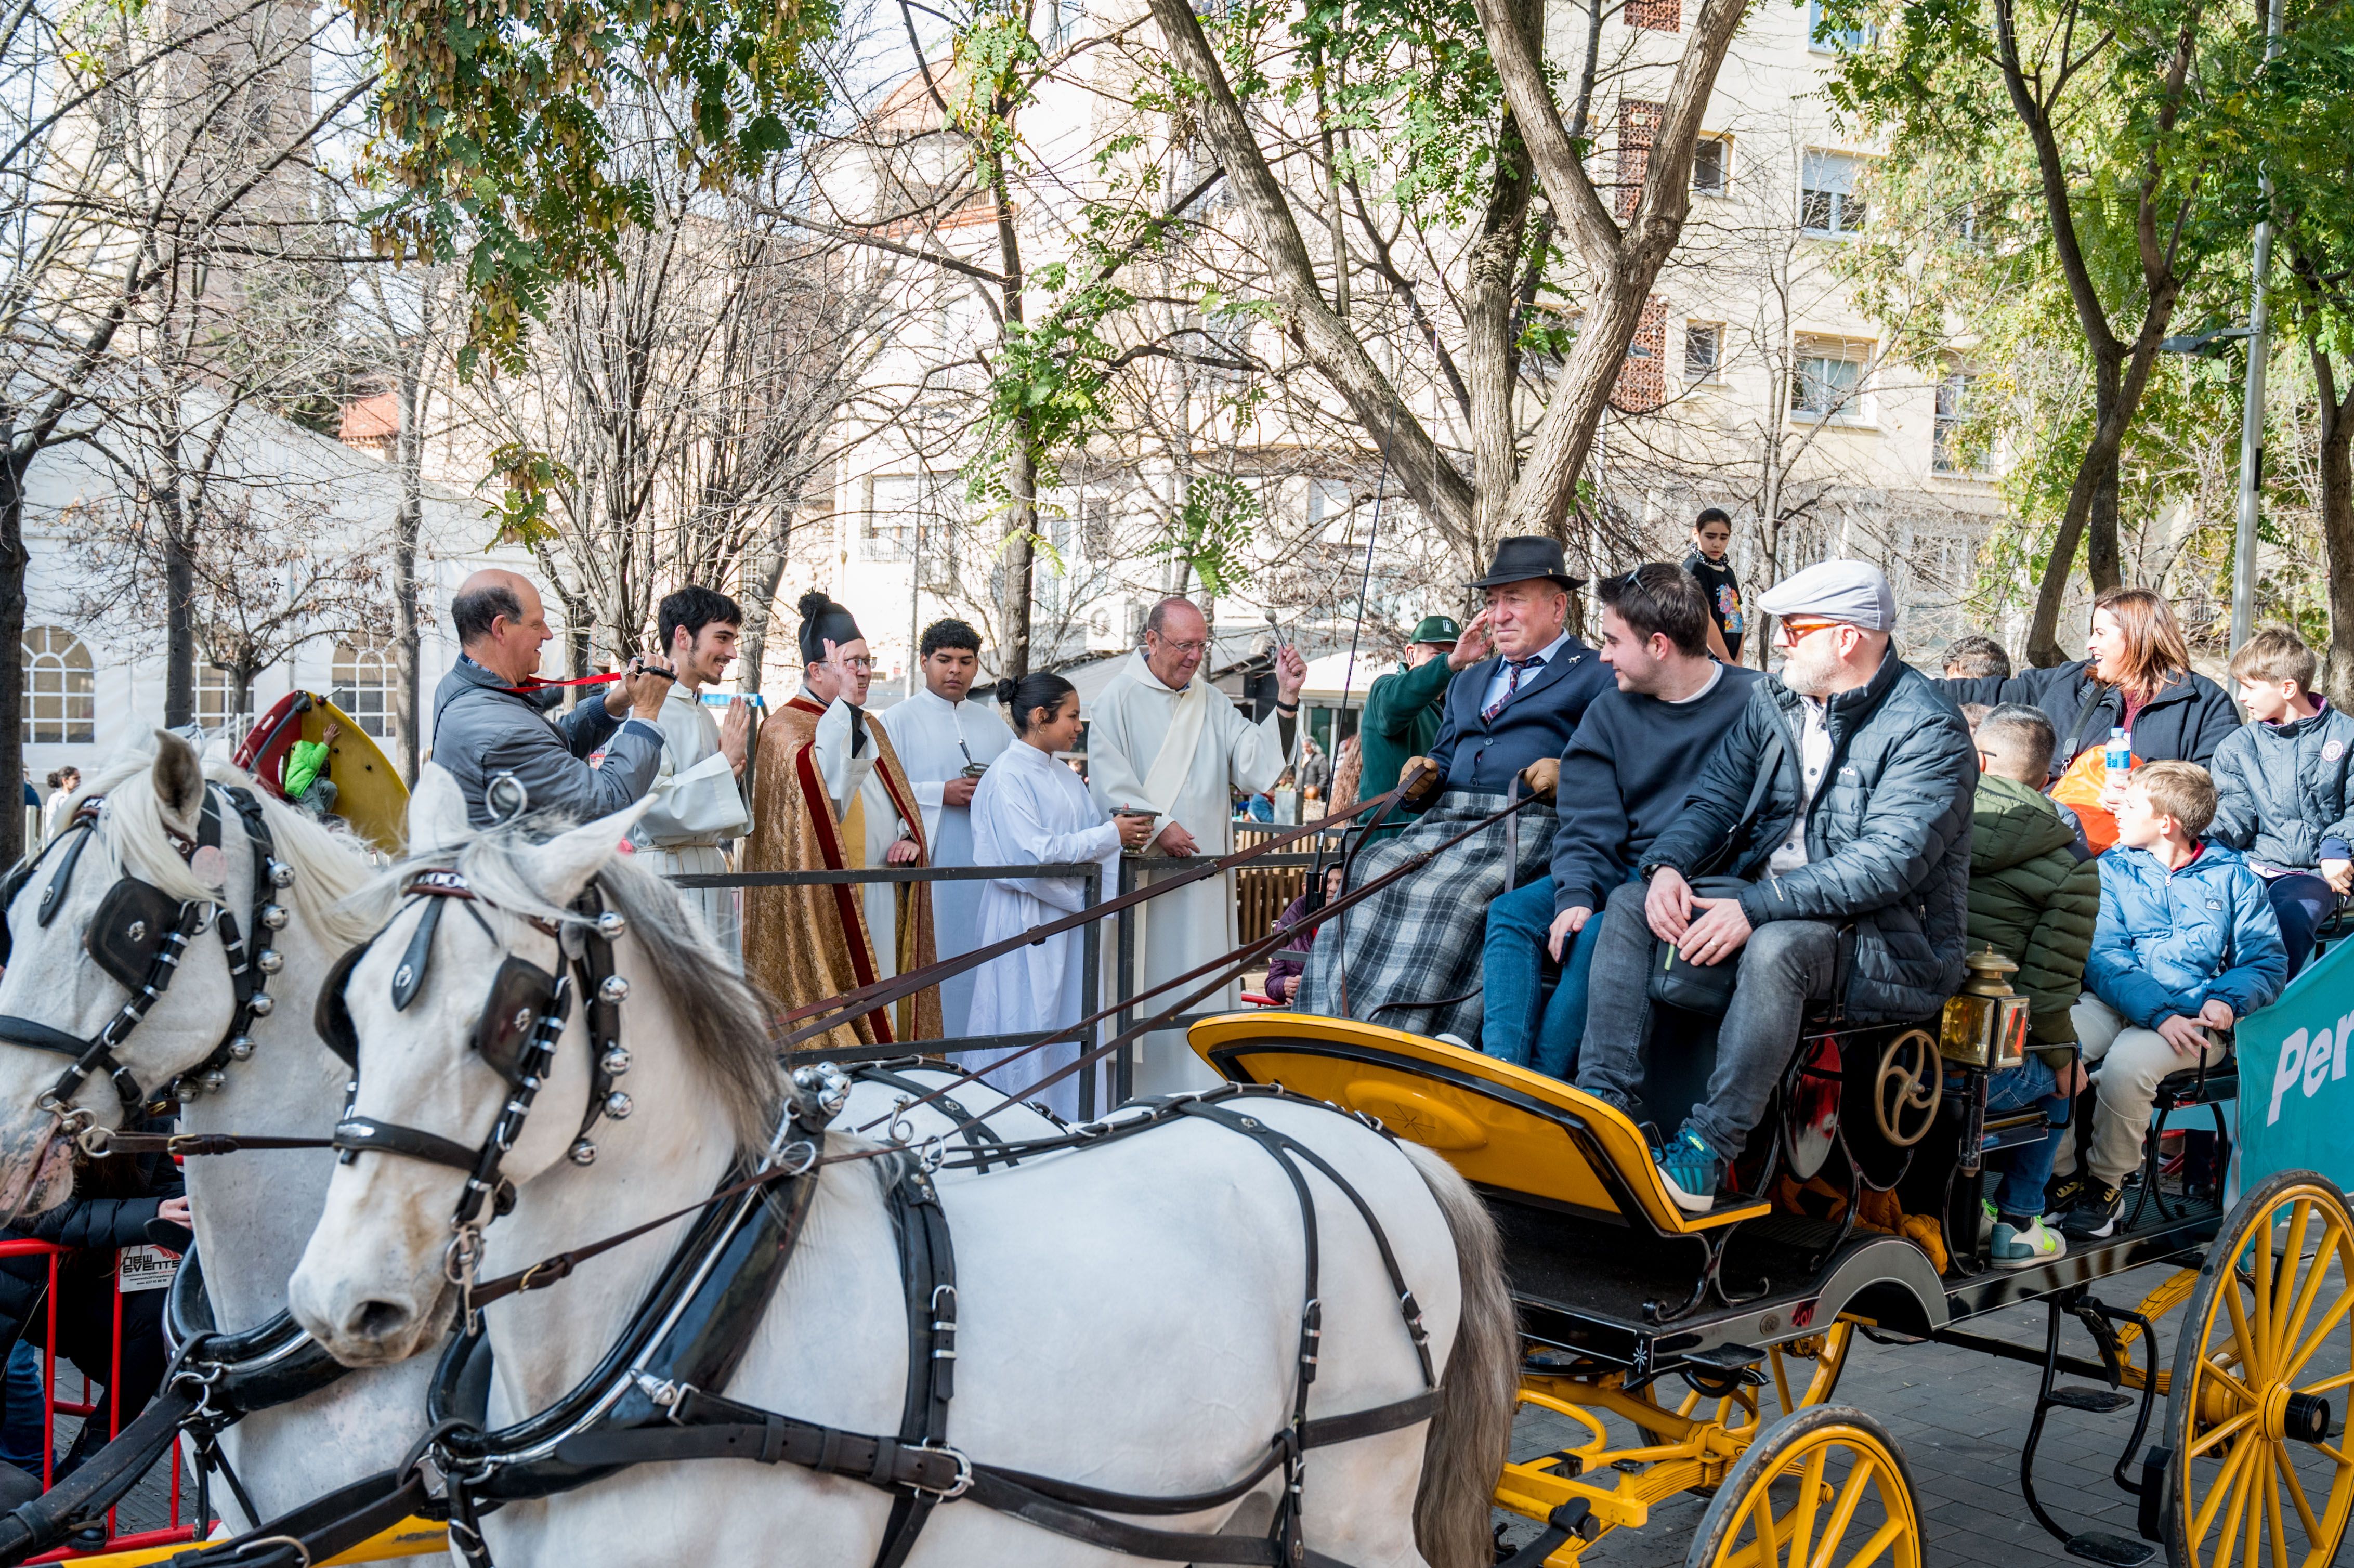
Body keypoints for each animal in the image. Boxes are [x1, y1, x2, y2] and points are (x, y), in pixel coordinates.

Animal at [284, 772, 1516, 1563]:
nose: (340, 1298)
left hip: (1358, 1504)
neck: (691, 1330)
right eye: (347, 1008)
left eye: (514, 1016)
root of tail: (1369, 1136)